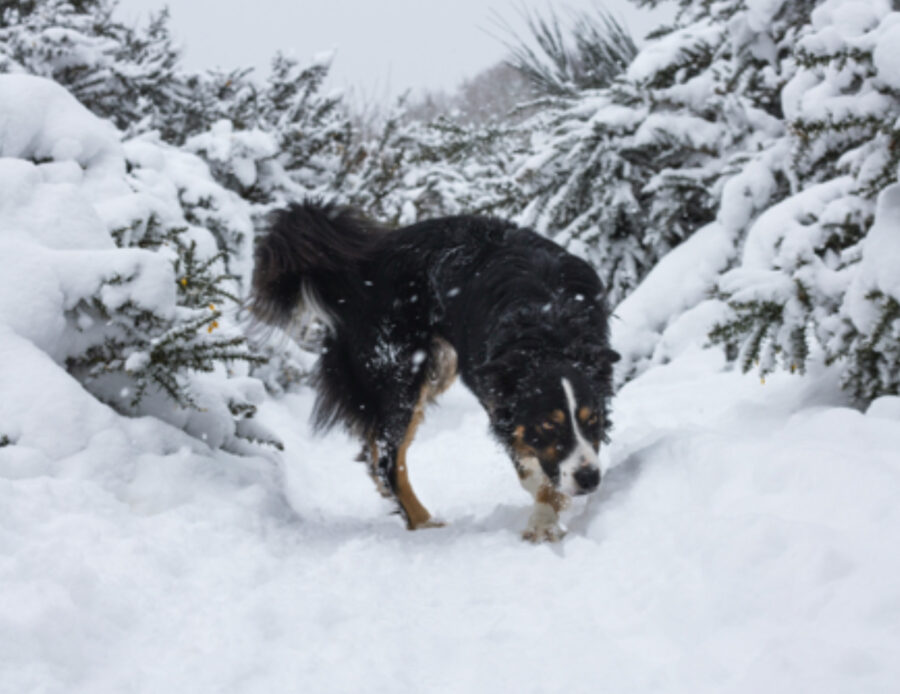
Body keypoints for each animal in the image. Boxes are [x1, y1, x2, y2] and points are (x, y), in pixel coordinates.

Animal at [253, 201, 620, 544]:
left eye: (593, 420)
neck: (547, 327)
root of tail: (353, 267)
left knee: (374, 448)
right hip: (398, 373)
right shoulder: (500, 399)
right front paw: (544, 520)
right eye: (547, 426)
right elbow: (534, 464)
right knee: (389, 459)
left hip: (433, 369)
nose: (590, 478)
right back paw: (423, 523)